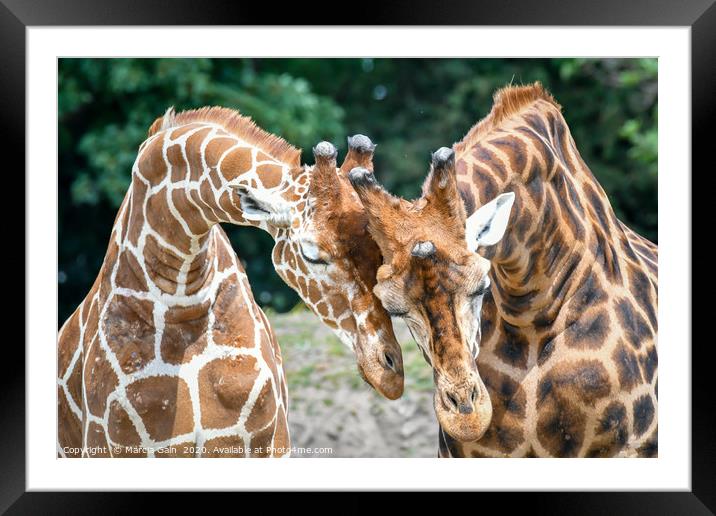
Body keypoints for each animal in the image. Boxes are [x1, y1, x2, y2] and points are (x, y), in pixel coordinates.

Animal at [57, 107, 402, 458]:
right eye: (312, 255)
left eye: (379, 251)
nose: (389, 372)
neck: (182, 300)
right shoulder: (111, 445)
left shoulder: (263, 443)